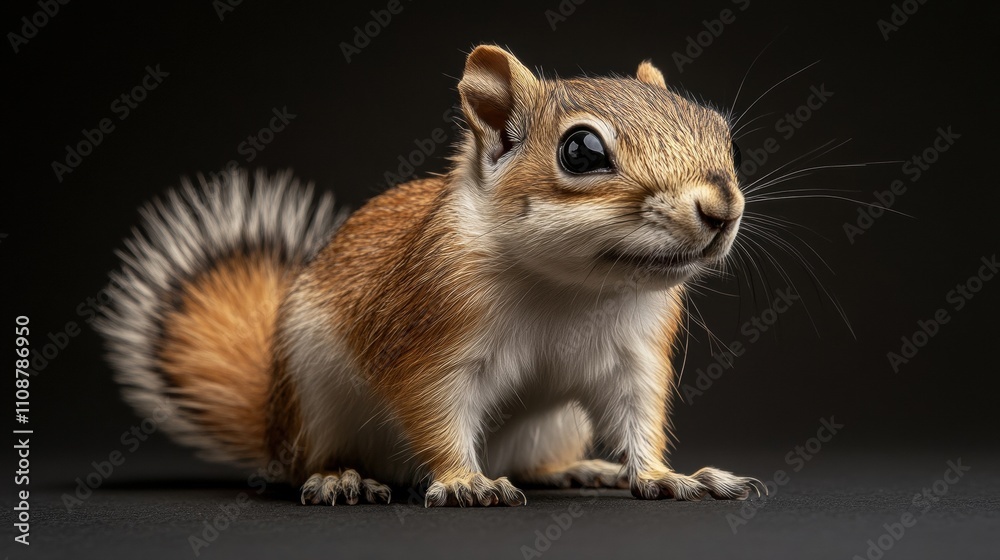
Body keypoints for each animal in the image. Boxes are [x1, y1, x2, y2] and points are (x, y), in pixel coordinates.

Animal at [96, 45, 760, 507]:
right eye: (581, 151)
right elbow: (433, 411)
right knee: (309, 462)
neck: (571, 286)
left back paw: (578, 469)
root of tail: (271, 429)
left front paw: (669, 476)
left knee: (533, 463)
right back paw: (340, 478)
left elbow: (638, 416)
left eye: (728, 141)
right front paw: (466, 481)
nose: (720, 210)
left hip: (555, 426)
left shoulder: (635, 355)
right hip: (313, 400)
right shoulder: (430, 336)